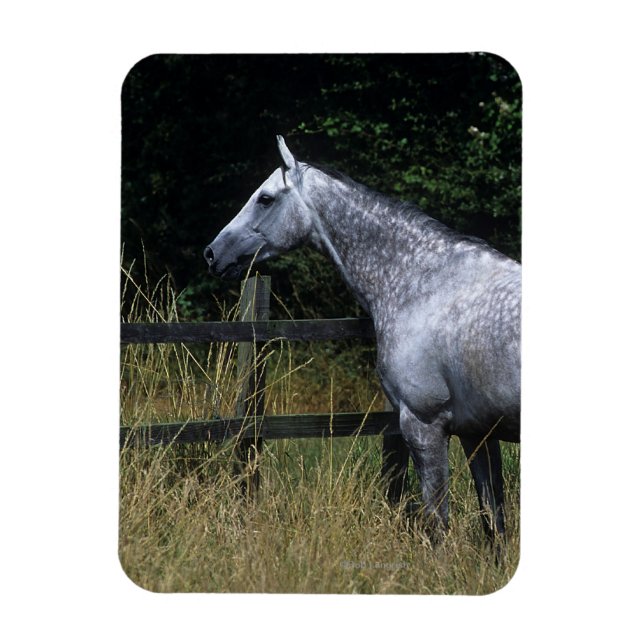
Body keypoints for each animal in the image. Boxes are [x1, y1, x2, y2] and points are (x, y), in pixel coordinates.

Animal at [204, 136, 520, 541]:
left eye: (265, 198)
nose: (212, 253)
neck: (426, 287)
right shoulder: (478, 433)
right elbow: (494, 524)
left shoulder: (424, 426)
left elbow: (438, 526)